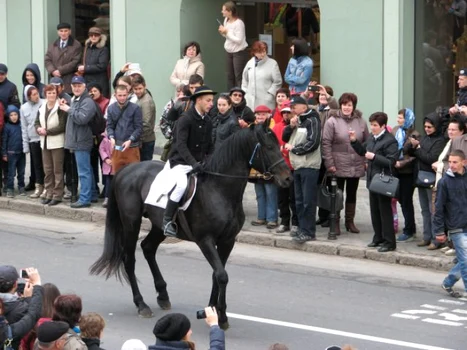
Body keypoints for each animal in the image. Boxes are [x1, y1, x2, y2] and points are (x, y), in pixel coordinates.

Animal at [90, 122, 292, 328]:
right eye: (269, 147)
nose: (288, 178)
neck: (219, 190)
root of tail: (126, 170)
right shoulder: (205, 240)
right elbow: (222, 275)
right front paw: (221, 316)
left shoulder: (227, 241)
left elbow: (217, 274)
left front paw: (212, 310)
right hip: (131, 222)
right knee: (129, 259)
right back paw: (142, 304)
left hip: (158, 226)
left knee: (148, 248)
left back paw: (163, 295)